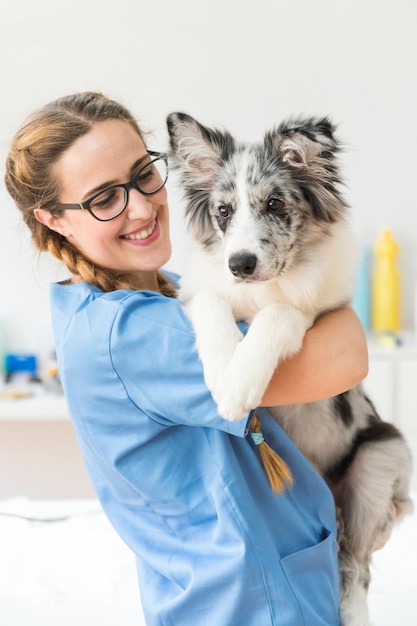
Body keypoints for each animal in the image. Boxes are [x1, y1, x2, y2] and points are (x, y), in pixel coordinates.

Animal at [166, 113, 412, 624]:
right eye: (223, 212)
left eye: (275, 203)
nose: (240, 264)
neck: (262, 287)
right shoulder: (203, 292)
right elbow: (214, 304)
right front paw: (223, 372)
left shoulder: (320, 315)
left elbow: (279, 314)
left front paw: (238, 385)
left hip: (381, 456)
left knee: (354, 564)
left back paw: (353, 610)